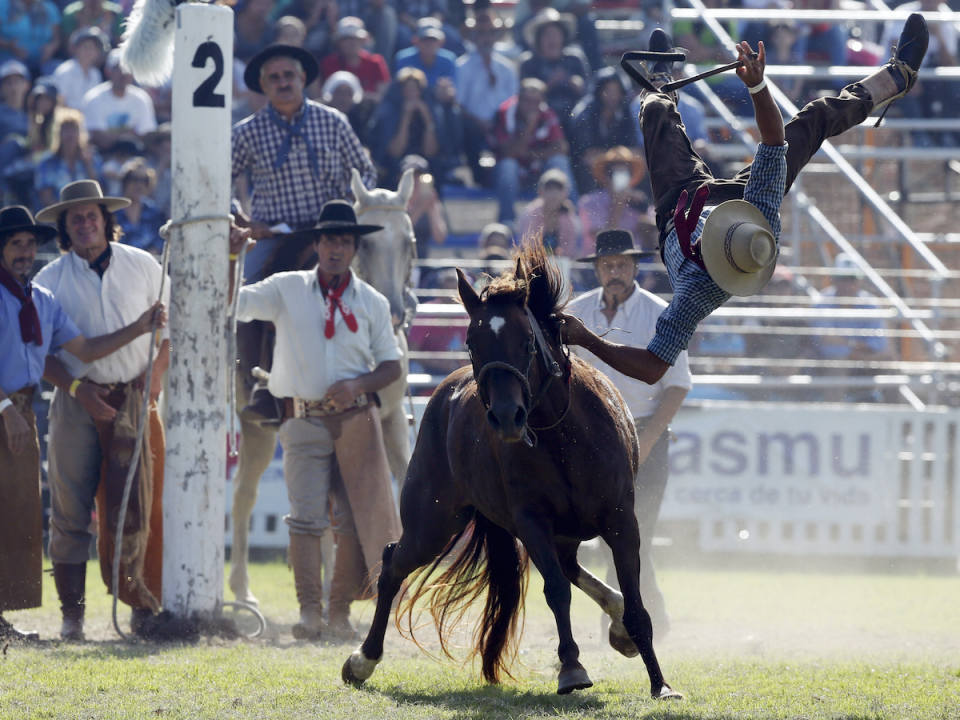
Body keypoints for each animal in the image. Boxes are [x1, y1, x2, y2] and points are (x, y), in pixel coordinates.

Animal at [342, 240, 680, 696]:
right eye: (471, 341)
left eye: (526, 340)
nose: (506, 416)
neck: (565, 435)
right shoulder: (531, 520)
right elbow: (556, 590)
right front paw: (571, 668)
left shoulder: (622, 521)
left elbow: (637, 604)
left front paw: (660, 683)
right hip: (432, 522)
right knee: (394, 562)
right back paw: (363, 660)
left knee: (576, 569)